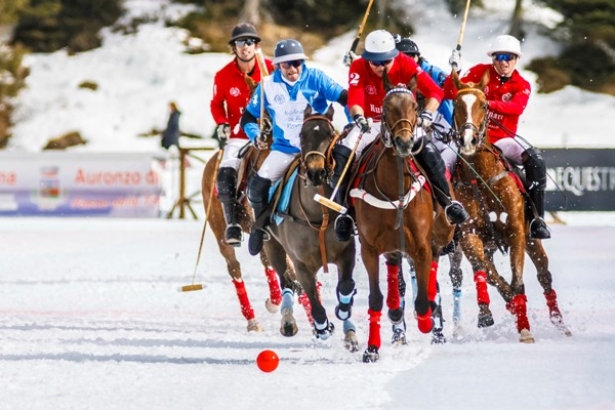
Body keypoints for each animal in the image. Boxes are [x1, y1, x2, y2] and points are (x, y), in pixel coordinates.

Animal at [262, 104, 360, 350]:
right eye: (301, 135)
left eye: (330, 134)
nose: (316, 172)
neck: (320, 215)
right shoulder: (302, 263)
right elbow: (314, 302)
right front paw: (323, 327)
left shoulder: (347, 252)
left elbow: (345, 286)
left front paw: (348, 326)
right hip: (272, 246)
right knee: (286, 280)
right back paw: (289, 321)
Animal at [348, 71, 454, 362]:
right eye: (385, 109)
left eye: (415, 107)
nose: (405, 143)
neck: (393, 185)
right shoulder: (369, 248)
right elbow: (376, 298)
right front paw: (371, 349)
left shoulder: (421, 245)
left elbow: (422, 303)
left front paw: (427, 320)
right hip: (394, 246)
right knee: (396, 272)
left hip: (440, 235)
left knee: (432, 271)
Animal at [448, 69, 572, 342]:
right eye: (456, 104)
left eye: (484, 105)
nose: (468, 140)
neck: (482, 177)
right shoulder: (469, 234)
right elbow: (488, 275)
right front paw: (490, 313)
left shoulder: (516, 231)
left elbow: (518, 281)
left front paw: (524, 328)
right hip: (489, 245)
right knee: (492, 273)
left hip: (532, 238)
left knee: (544, 276)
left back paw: (560, 324)